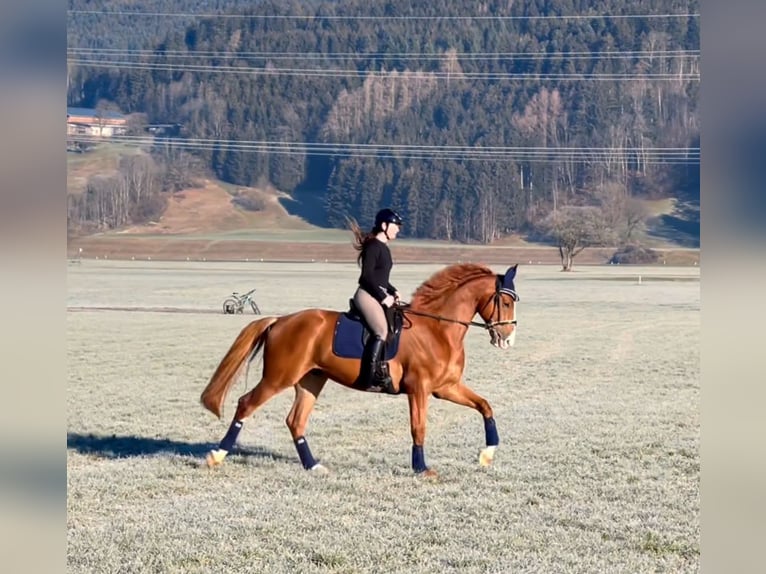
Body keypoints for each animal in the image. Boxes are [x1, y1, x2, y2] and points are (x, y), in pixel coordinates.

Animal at [202, 264, 520, 476]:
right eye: (505, 301)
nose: (508, 339)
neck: (438, 329)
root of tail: (280, 320)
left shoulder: (446, 387)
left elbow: (485, 406)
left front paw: (487, 454)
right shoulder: (419, 389)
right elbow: (418, 427)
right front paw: (421, 468)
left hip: (310, 380)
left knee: (295, 421)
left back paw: (313, 466)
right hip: (278, 377)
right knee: (246, 404)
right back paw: (217, 456)